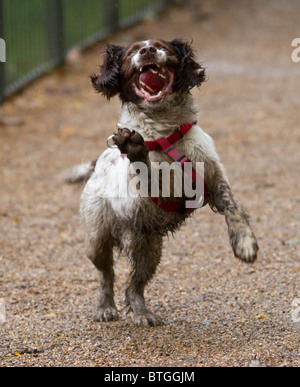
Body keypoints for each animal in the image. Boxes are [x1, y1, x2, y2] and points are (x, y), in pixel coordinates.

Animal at [67, 38, 258, 328]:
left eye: (161, 47)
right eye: (133, 52)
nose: (147, 51)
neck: (166, 134)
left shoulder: (213, 178)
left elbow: (233, 208)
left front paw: (245, 244)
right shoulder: (138, 197)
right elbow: (145, 171)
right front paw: (135, 148)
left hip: (150, 249)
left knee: (133, 286)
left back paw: (142, 313)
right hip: (96, 238)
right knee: (106, 275)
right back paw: (105, 307)